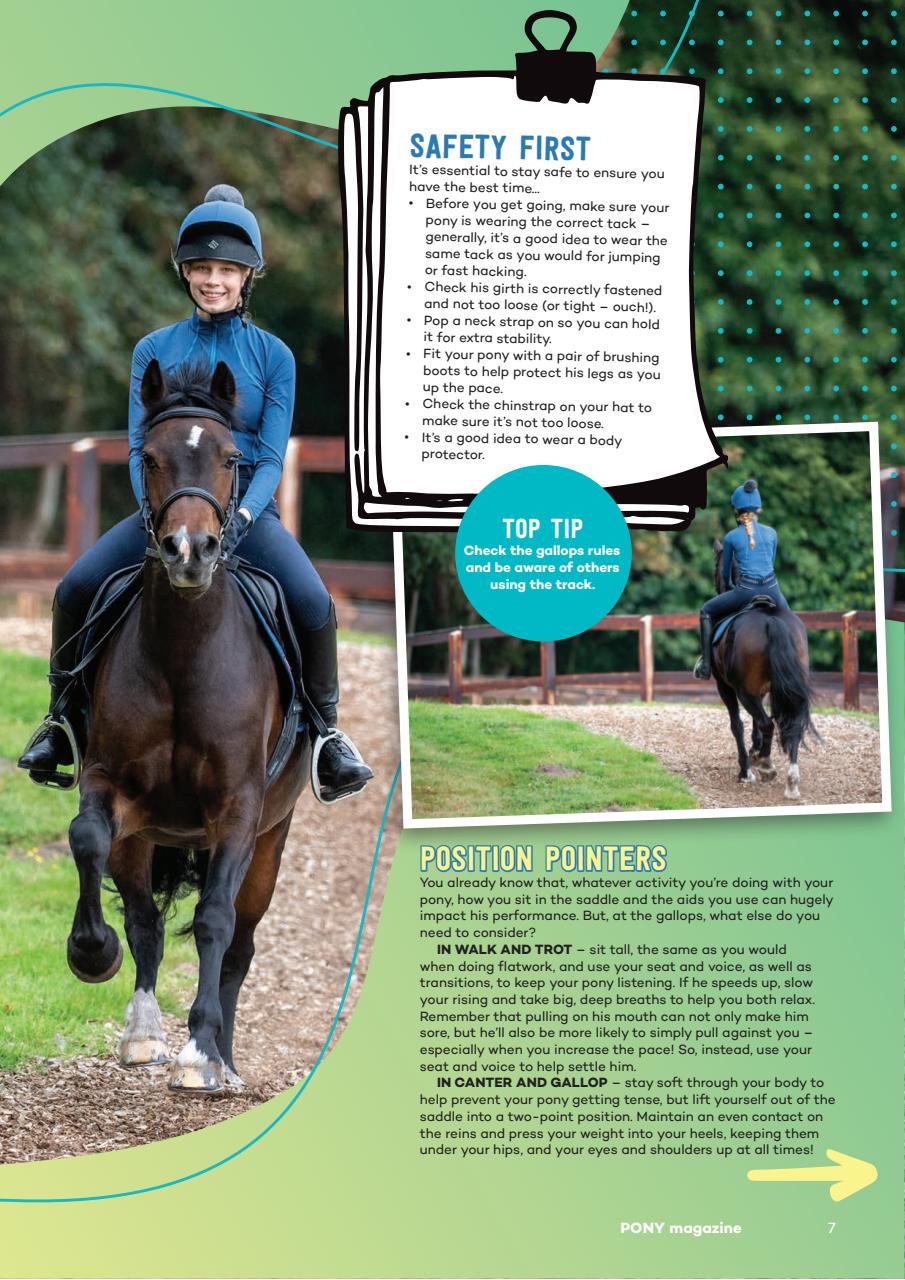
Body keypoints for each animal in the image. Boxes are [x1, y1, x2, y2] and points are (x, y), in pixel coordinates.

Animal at [65, 357, 309, 1093]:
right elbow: (86, 840)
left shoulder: (237, 808)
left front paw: (201, 1053)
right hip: (145, 834)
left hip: (270, 841)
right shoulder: (112, 785)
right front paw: (91, 952)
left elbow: (213, 922)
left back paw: (223, 1059)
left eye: (231, 458)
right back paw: (143, 1033)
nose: (189, 551)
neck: (183, 651)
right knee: (144, 917)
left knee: (241, 942)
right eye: (148, 456)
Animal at [710, 538, 815, 801]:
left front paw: (746, 769)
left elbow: (738, 725)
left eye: (715, 565)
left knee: (767, 722)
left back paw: (766, 766)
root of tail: (770, 619)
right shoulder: (765, 688)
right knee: (790, 724)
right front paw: (756, 751)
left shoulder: (725, 687)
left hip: (743, 691)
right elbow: (757, 723)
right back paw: (790, 781)